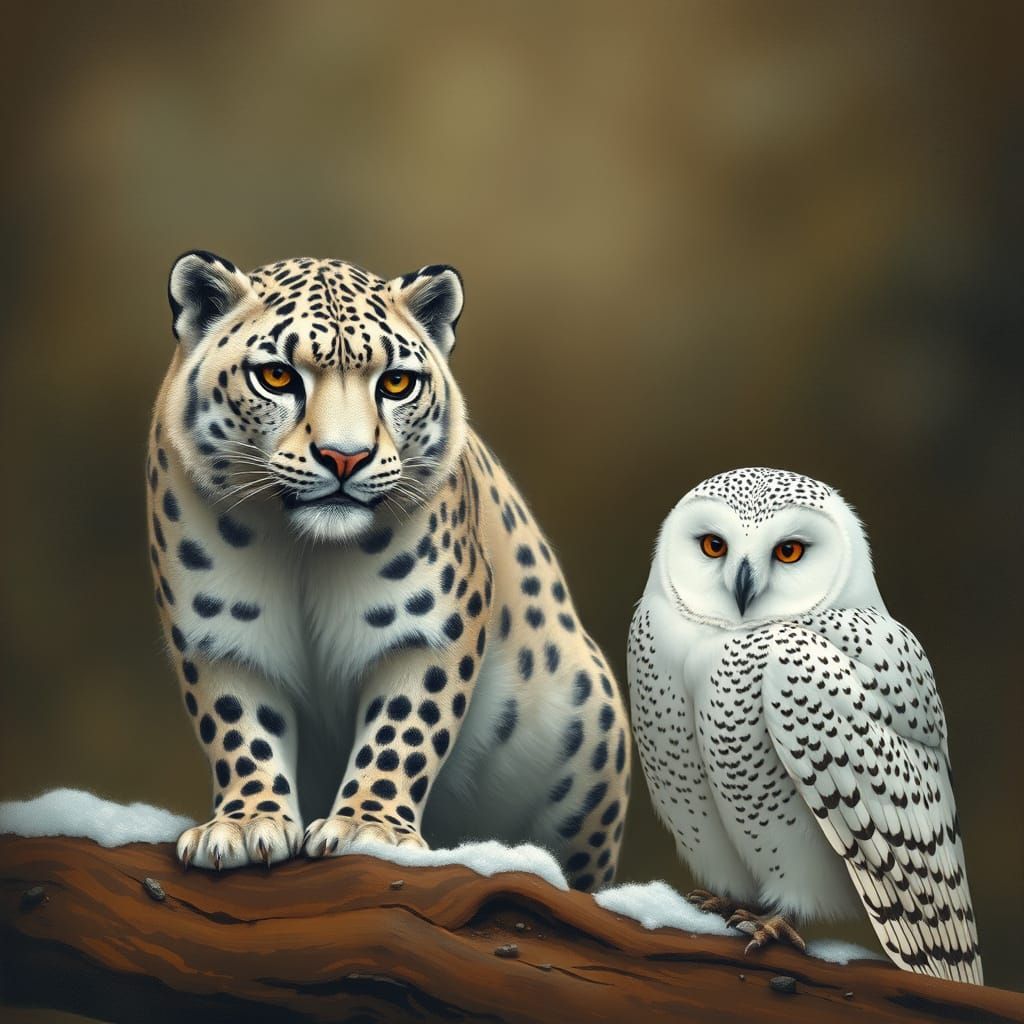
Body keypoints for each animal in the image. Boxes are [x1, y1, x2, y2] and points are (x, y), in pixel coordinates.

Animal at [146, 250, 630, 891]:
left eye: (396, 383)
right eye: (276, 376)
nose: (344, 457)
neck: (307, 556)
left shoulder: (428, 629)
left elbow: (403, 730)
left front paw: (368, 831)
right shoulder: (219, 631)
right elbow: (238, 726)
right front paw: (247, 825)